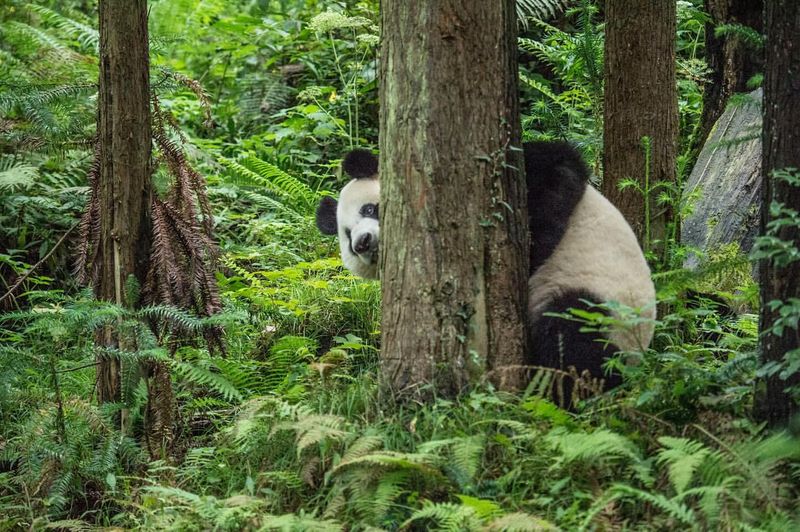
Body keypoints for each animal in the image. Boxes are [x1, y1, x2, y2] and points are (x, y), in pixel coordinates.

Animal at [314, 141, 656, 400]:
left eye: (369, 209)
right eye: (347, 236)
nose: (362, 242)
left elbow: (560, 168)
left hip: (610, 307)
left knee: (571, 334)